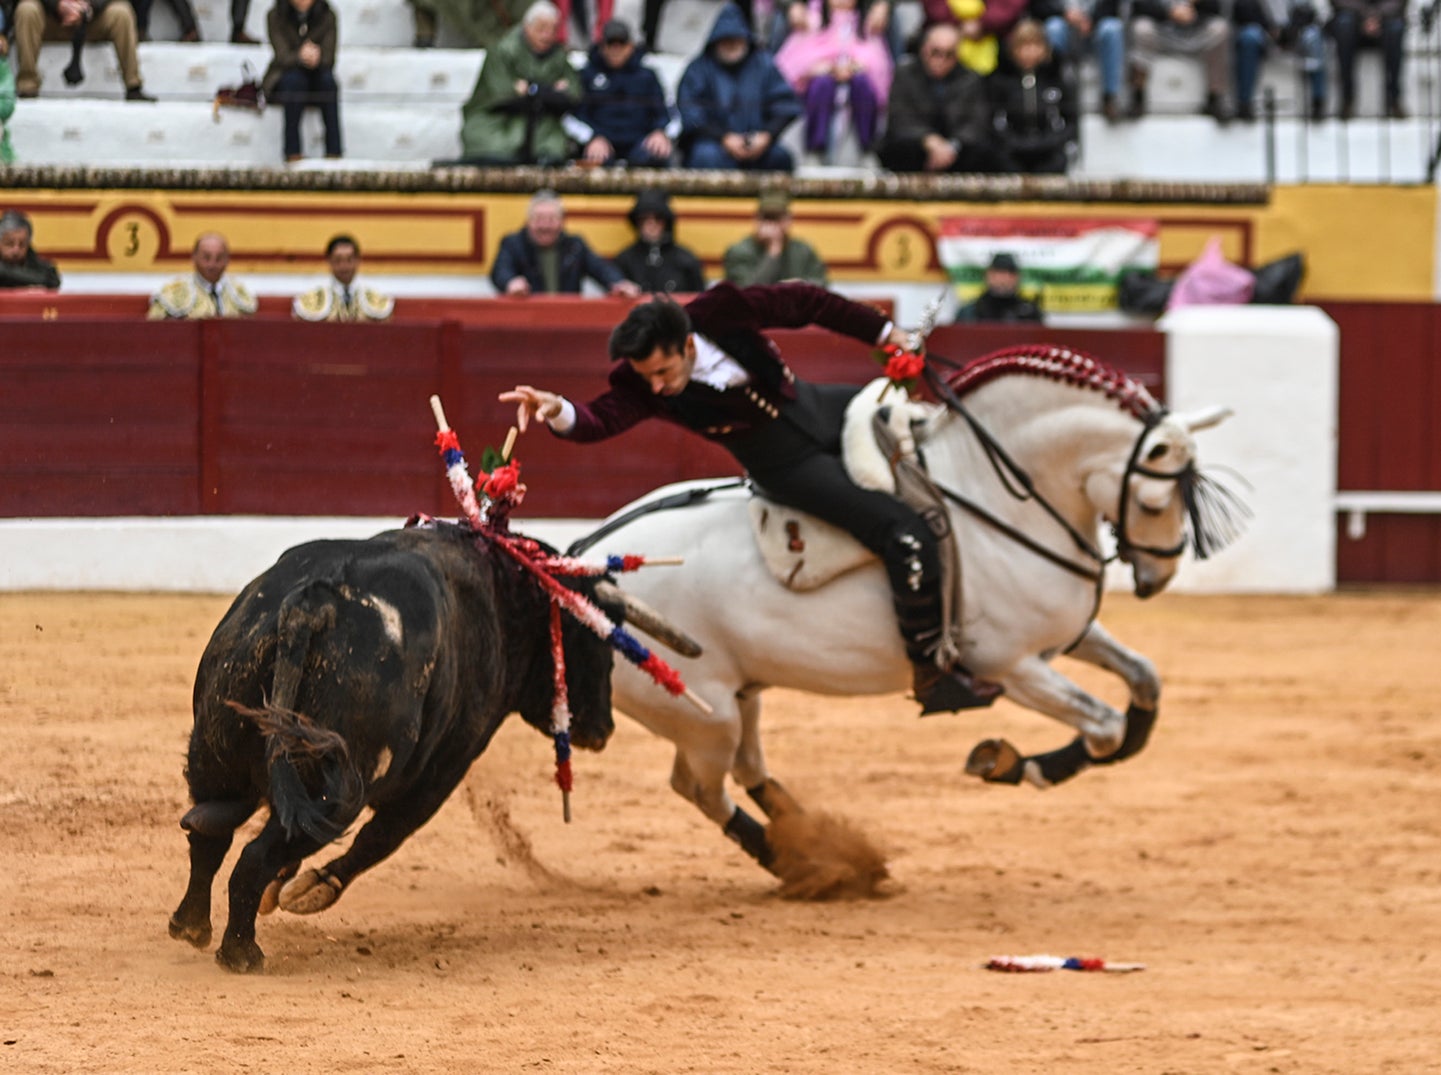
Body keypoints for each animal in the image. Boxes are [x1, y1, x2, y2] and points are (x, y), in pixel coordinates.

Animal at [168, 521, 619, 974]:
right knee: (256, 857)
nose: (604, 727)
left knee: (209, 835)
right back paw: (241, 952)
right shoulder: (444, 771)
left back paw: (191, 925)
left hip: (215, 750)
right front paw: (314, 888)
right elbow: (384, 835)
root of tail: (312, 605)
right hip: (340, 792)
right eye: (594, 642)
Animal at [573, 347, 1239, 893]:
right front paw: (1008, 763)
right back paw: (804, 863)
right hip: (701, 711)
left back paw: (819, 850)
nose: (1157, 577)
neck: (992, 500)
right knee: (702, 787)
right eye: (1154, 501)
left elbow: (1144, 681)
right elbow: (1103, 726)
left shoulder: (1066, 640)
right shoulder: (1012, 666)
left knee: (745, 769)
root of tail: (585, 558)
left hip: (740, 695)